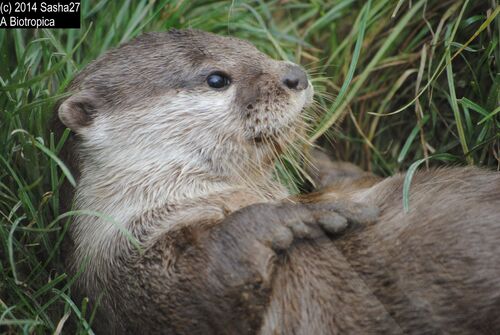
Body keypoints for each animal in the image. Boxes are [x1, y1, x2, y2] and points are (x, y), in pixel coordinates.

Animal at [54, 30, 500, 334]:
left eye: (252, 49)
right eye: (216, 79)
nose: (295, 74)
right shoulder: (120, 271)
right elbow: (202, 285)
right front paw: (306, 215)